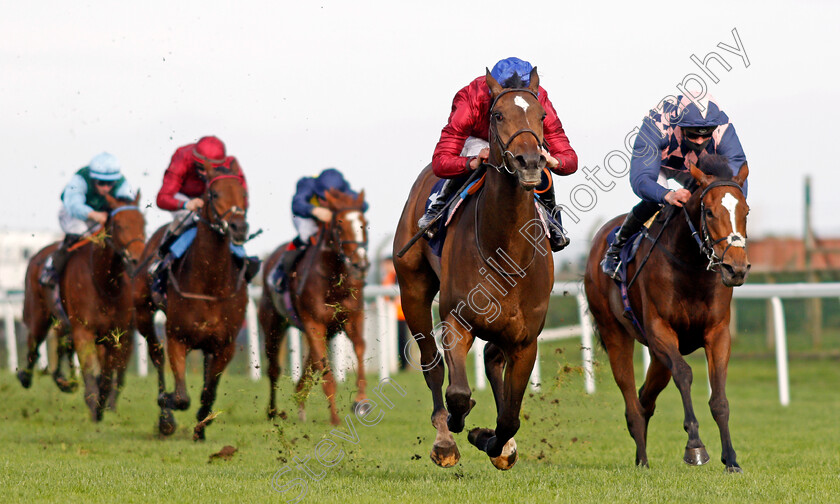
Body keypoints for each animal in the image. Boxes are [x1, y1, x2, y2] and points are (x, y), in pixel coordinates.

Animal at [17, 193, 145, 422]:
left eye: (143, 223)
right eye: (119, 225)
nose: (136, 259)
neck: (104, 283)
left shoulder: (117, 334)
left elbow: (108, 375)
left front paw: (102, 404)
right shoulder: (83, 330)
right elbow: (91, 372)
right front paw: (94, 405)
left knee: (61, 346)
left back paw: (63, 380)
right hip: (39, 314)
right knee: (34, 343)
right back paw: (26, 376)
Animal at [135, 163, 251, 440]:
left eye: (243, 193)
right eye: (215, 194)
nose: (239, 228)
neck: (210, 283)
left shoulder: (225, 344)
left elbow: (208, 392)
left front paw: (202, 426)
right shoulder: (177, 337)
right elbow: (180, 397)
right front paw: (167, 404)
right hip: (142, 313)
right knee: (156, 354)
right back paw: (165, 417)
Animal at [260, 189, 370, 426]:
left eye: (365, 223)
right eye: (339, 226)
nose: (361, 264)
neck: (332, 278)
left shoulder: (351, 319)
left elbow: (359, 347)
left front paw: (361, 400)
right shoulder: (314, 323)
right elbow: (325, 368)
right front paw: (335, 418)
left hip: (328, 330)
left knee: (309, 365)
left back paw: (300, 401)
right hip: (272, 322)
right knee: (274, 368)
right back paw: (273, 411)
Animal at [392, 67, 556, 468]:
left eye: (542, 115)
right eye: (497, 115)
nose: (530, 162)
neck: (505, 247)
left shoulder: (526, 340)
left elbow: (510, 417)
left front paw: (494, 442)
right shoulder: (457, 319)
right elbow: (458, 392)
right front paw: (459, 427)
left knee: (492, 359)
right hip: (412, 290)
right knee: (432, 362)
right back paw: (445, 438)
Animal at [580, 156, 752, 470]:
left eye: (745, 211)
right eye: (709, 212)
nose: (735, 268)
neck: (691, 267)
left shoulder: (717, 333)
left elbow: (719, 398)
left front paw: (731, 459)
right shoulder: (661, 329)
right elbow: (684, 374)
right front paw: (695, 446)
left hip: (658, 355)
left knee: (645, 398)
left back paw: (640, 456)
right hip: (615, 333)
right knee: (631, 399)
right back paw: (643, 460)